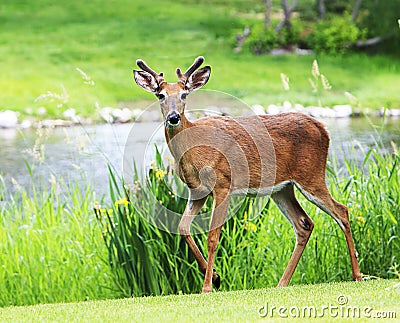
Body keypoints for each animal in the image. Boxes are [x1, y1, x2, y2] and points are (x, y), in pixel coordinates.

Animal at [132, 57, 362, 294]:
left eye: (184, 94)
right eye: (160, 95)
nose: (174, 117)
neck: (194, 149)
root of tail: (323, 129)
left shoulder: (223, 184)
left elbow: (212, 237)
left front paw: (207, 286)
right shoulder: (197, 191)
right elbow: (183, 228)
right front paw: (216, 278)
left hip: (311, 175)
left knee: (342, 211)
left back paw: (357, 275)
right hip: (282, 188)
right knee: (304, 224)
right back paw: (282, 282)